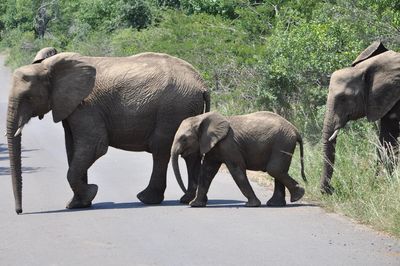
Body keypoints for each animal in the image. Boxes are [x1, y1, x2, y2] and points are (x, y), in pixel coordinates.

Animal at [6, 50, 211, 214]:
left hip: (172, 109)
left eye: (28, 97)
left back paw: (147, 199)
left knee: (161, 150)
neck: (48, 66)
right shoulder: (71, 107)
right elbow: (73, 149)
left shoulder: (86, 107)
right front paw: (78, 204)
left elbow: (94, 146)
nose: (19, 211)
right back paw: (186, 199)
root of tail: (202, 84)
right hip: (186, 108)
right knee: (189, 153)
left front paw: (90, 192)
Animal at [170, 111, 306, 207]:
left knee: (274, 169)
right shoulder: (214, 146)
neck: (200, 118)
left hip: (283, 142)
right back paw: (277, 204)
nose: (184, 200)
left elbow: (237, 170)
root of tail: (296, 130)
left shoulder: (229, 144)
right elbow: (207, 171)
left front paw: (252, 205)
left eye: (184, 139)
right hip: (283, 142)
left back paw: (298, 196)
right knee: (277, 171)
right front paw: (195, 204)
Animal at [320, 41, 400, 194]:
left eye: (343, 98)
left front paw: (379, 185)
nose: (330, 189)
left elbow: (389, 139)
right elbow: (386, 140)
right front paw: (379, 185)